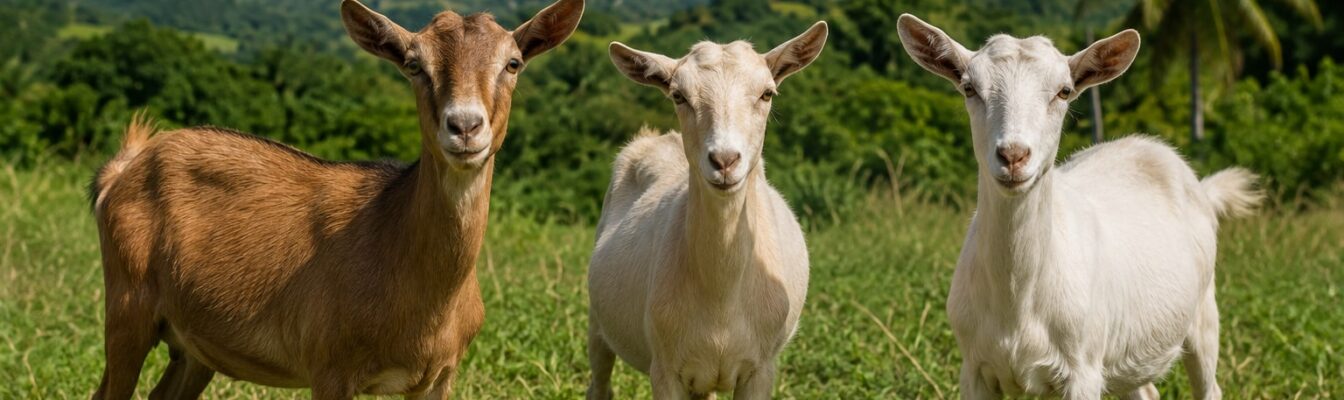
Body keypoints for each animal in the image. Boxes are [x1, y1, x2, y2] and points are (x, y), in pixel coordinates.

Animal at [88, 0, 582, 398]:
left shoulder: (439, 375)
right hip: (127, 308)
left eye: (513, 63)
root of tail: (123, 168)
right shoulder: (329, 365)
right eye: (413, 64)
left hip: (193, 346)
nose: (464, 126)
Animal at [586, 22, 828, 400]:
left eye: (767, 93)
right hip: (597, 321)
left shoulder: (760, 369)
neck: (721, 300)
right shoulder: (665, 369)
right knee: (599, 382)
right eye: (678, 95)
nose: (724, 160)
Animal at [897, 14, 1261, 400]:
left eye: (1064, 91)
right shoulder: (974, 369)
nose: (1013, 156)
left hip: (1205, 312)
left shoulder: (1082, 369)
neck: (1016, 303)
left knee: (1210, 385)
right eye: (969, 88)